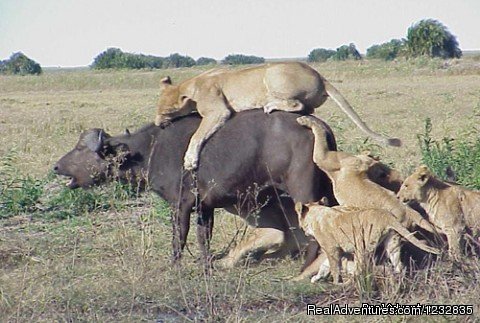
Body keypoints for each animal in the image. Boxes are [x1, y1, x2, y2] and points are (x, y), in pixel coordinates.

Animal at [53, 111, 338, 266]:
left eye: (81, 150)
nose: (56, 166)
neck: (150, 150)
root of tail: (319, 126)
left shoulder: (180, 205)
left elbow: (179, 237)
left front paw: (175, 265)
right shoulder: (205, 207)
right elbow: (203, 238)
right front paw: (205, 263)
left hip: (303, 193)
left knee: (313, 233)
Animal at [156, 61, 400, 171]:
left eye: (166, 112)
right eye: (157, 109)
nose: (158, 124)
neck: (191, 85)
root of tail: (320, 76)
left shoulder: (219, 111)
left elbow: (196, 135)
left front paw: (189, 161)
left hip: (272, 74)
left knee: (297, 103)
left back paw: (270, 105)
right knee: (307, 109)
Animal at [292, 204, 438, 284]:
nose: (302, 230)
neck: (317, 214)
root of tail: (386, 216)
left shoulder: (331, 249)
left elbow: (333, 268)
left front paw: (335, 283)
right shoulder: (337, 251)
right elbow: (326, 266)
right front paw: (316, 278)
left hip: (361, 245)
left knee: (361, 270)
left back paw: (349, 282)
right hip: (392, 243)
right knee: (399, 266)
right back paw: (399, 279)